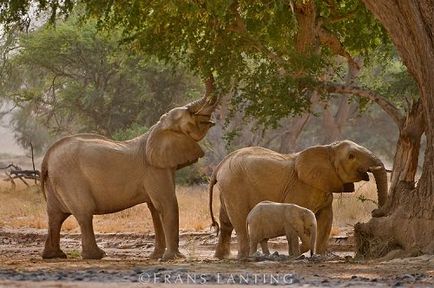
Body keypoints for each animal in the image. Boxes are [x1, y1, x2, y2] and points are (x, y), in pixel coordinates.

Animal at [40, 93, 217, 260]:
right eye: (190, 115)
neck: (156, 129)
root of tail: (47, 157)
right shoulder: (155, 169)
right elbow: (167, 204)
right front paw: (174, 257)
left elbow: (154, 208)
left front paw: (156, 257)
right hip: (70, 179)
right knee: (84, 214)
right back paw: (97, 255)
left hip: (57, 182)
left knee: (56, 216)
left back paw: (54, 255)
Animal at [209, 140, 388, 258]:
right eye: (351, 156)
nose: (375, 211)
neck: (327, 148)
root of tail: (220, 165)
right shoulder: (300, 188)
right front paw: (302, 250)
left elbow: (326, 221)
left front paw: (321, 256)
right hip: (234, 186)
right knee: (239, 220)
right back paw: (244, 257)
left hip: (227, 189)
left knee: (225, 223)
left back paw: (221, 257)